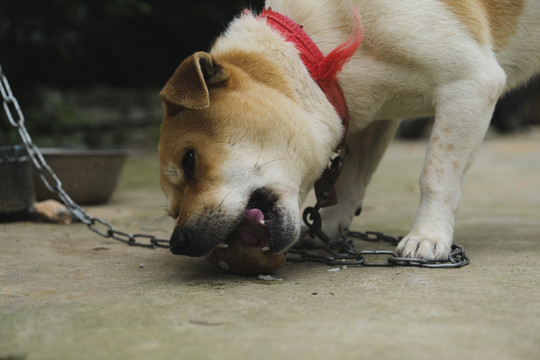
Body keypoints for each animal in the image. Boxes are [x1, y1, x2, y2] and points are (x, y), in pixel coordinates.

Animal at [159, 0, 540, 258]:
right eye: (172, 212)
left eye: (190, 161)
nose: (178, 243)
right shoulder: (371, 118)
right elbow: (352, 182)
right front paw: (328, 227)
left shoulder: (471, 84)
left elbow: (436, 175)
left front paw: (428, 236)